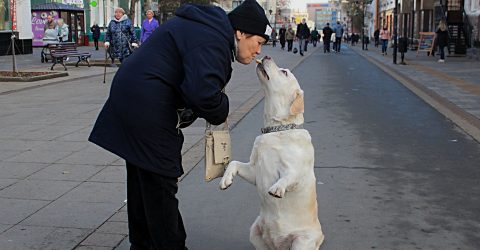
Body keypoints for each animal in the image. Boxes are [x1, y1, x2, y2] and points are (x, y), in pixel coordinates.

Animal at [219, 56, 324, 250]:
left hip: (301, 242)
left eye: (284, 72)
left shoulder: (297, 171)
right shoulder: (254, 170)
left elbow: (289, 175)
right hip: (254, 231)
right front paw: (225, 180)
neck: (277, 129)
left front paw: (277, 188)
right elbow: (234, 163)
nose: (267, 56)